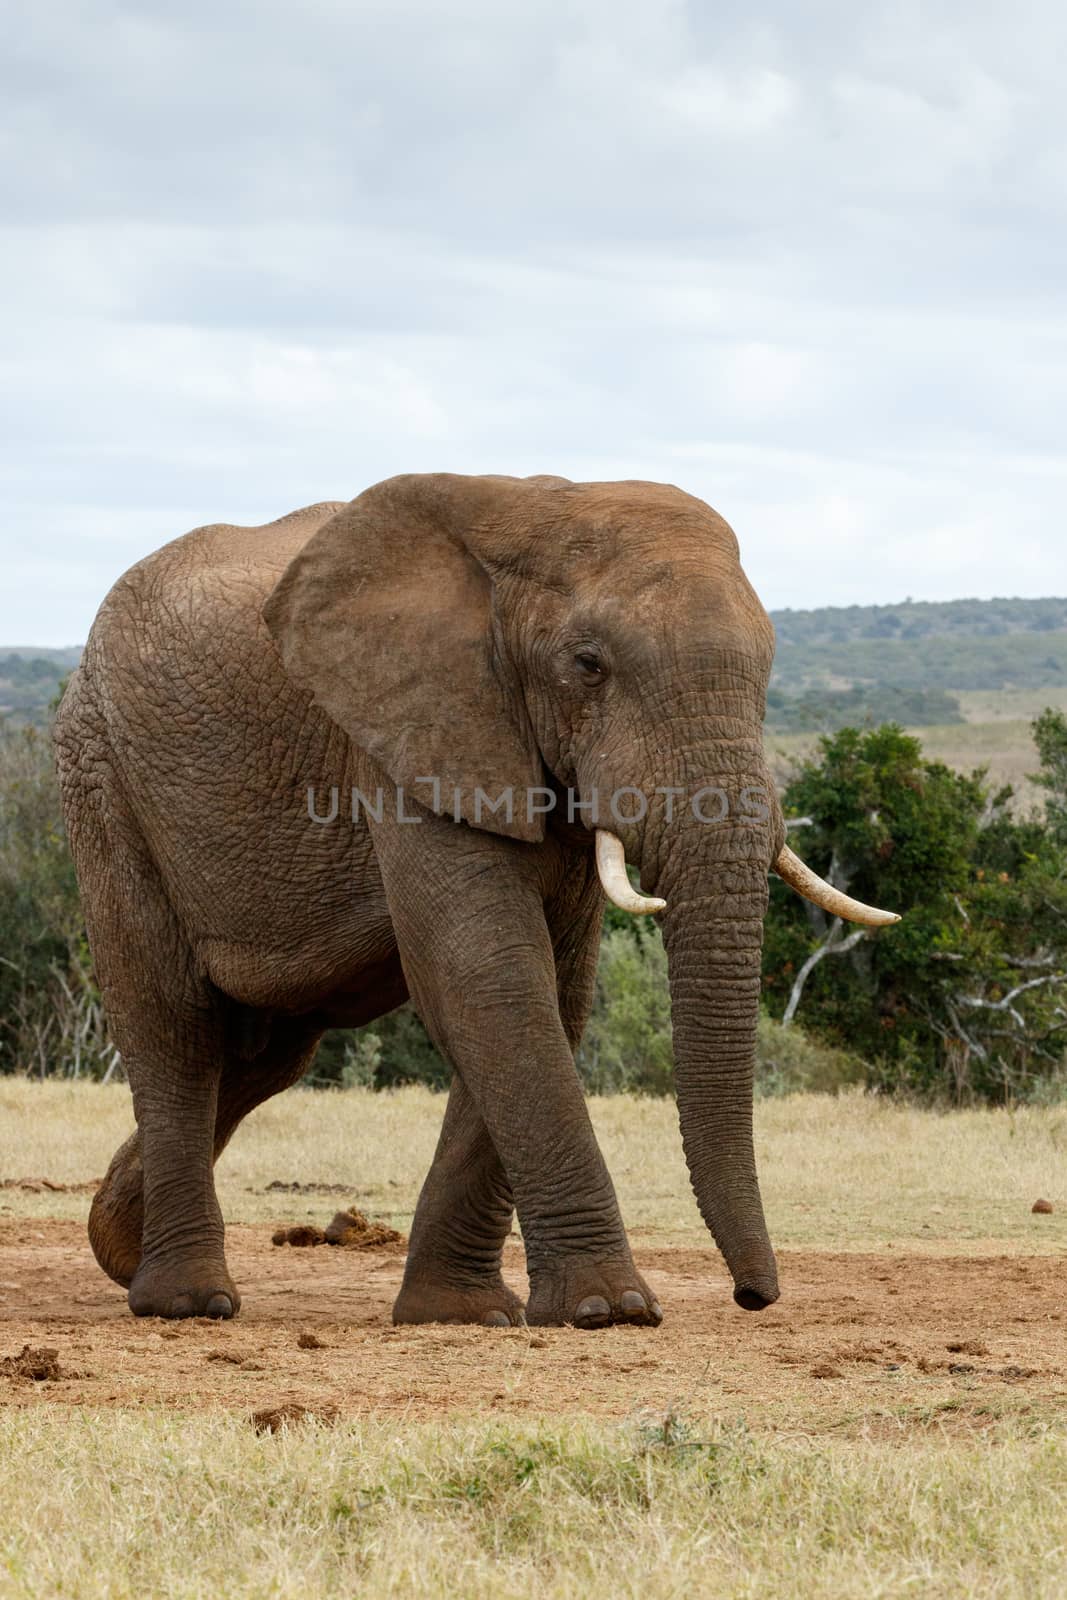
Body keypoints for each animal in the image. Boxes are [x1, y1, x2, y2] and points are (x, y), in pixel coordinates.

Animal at [54, 470, 895, 1324]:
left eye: (768, 671)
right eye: (587, 664)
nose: (753, 1296)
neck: (536, 514)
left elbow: (549, 992)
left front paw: (462, 1313)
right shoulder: (410, 735)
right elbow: (488, 975)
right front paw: (610, 1310)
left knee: (265, 1054)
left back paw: (117, 1241)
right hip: (101, 775)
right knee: (175, 1026)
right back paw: (188, 1300)